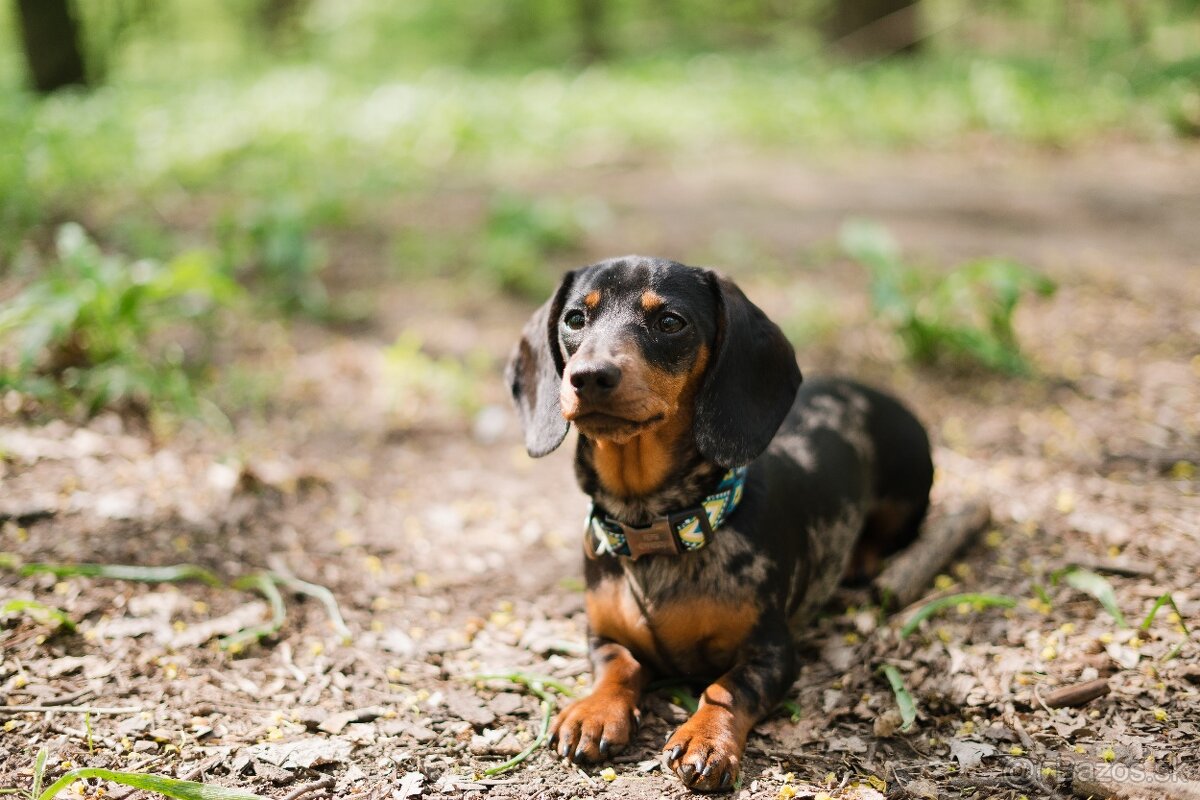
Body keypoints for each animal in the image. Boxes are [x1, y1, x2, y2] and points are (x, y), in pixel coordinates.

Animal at [501, 257, 931, 796]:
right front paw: (594, 712)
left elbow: (726, 687)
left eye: (670, 322)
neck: (656, 526)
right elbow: (619, 665)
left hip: (906, 493)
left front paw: (706, 738)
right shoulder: (601, 636)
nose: (589, 376)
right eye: (575, 319)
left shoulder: (774, 653)